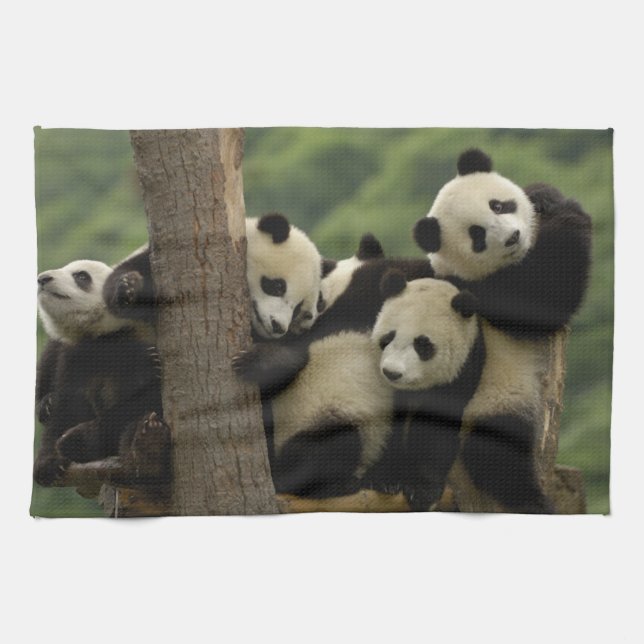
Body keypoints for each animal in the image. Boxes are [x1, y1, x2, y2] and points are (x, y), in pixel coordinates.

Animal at [34, 259, 168, 488]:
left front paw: (76, 441)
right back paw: (46, 404)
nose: (43, 278)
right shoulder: (76, 355)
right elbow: (67, 401)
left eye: (81, 276)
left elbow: (145, 396)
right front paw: (48, 463)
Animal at [413, 148, 592, 513]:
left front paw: (543, 196)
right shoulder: (486, 293)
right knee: (495, 455)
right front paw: (570, 214)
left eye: (498, 205)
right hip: (495, 397)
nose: (513, 237)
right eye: (477, 235)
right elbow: (547, 298)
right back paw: (535, 503)